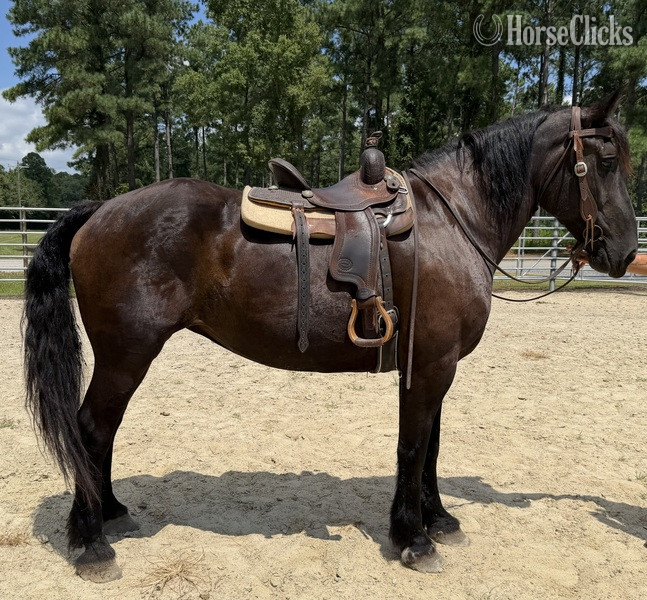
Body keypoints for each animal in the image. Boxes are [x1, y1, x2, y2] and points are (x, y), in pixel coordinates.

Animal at [23, 93, 638, 582]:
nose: (627, 252)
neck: (450, 222)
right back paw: (91, 543)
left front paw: (439, 520)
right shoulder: (430, 366)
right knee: (91, 429)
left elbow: (433, 445)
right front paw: (414, 538)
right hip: (126, 355)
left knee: (100, 432)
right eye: (605, 161)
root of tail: (100, 210)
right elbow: (413, 446)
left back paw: (111, 513)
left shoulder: (435, 365)